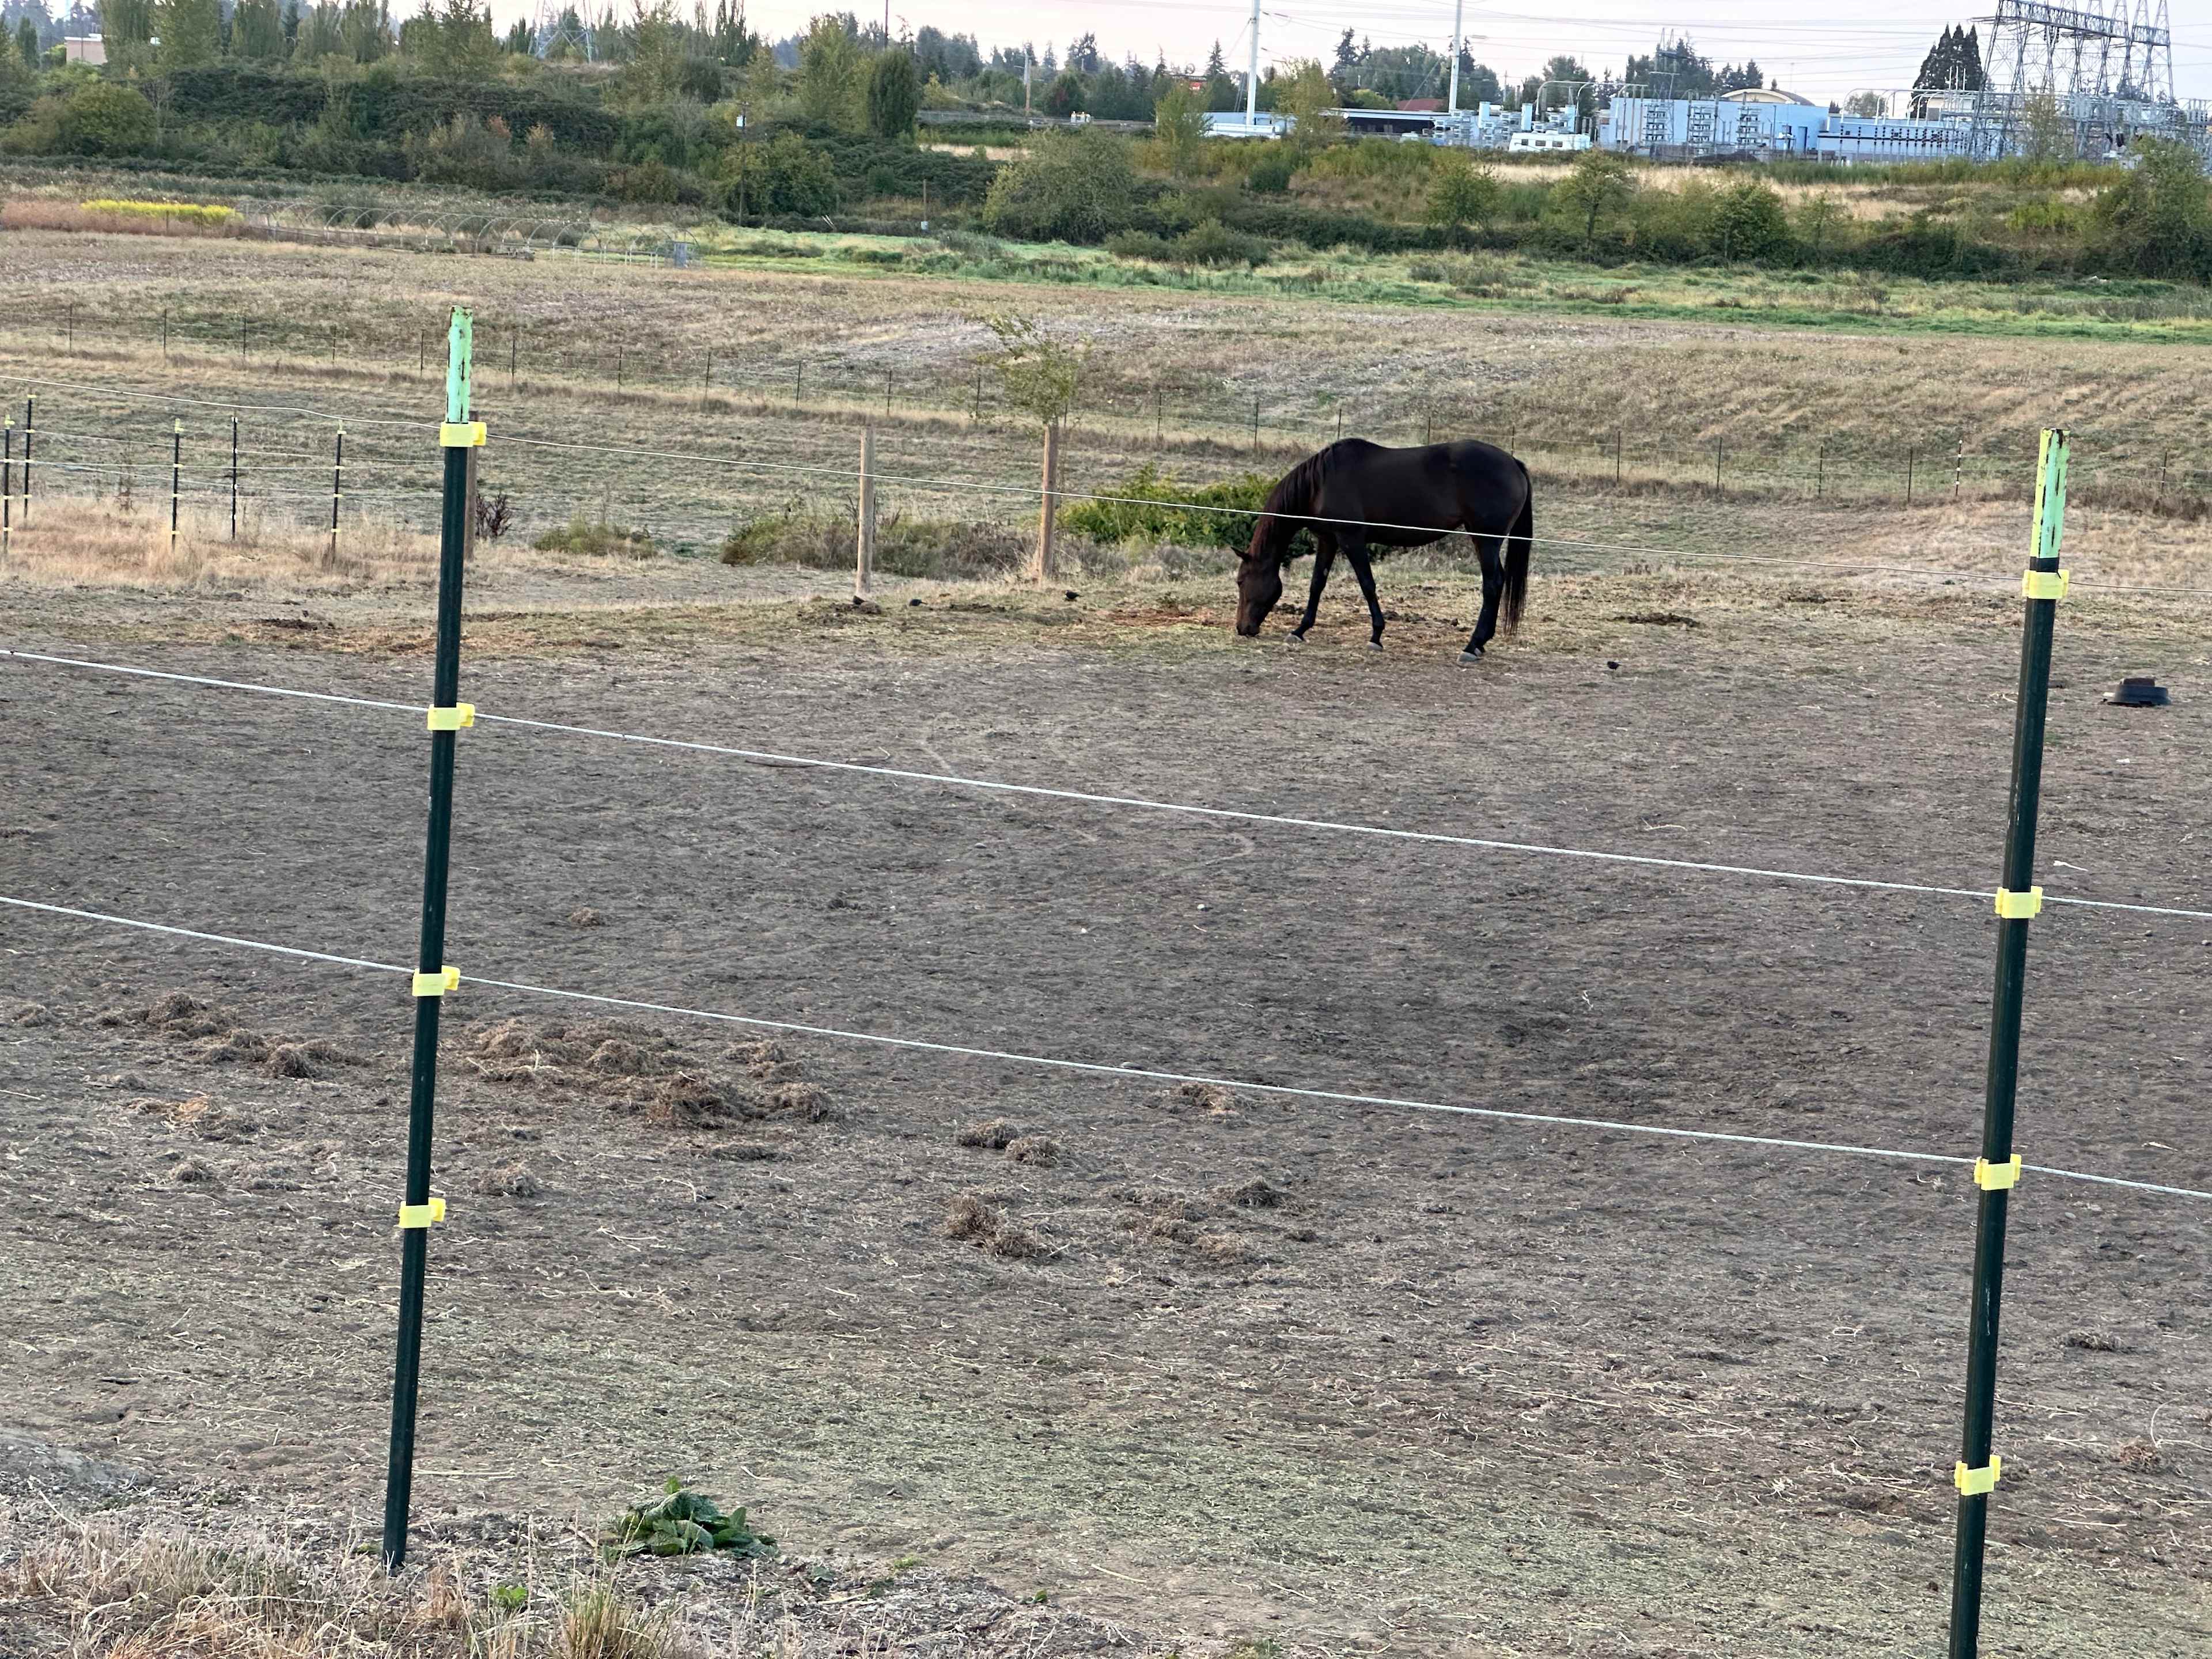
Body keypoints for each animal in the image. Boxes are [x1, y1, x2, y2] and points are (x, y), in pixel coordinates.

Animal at [1232, 438, 1532, 662]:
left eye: (1241, 581)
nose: (1242, 629)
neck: (1321, 483)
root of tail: (1514, 464)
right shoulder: (1328, 540)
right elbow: (1317, 584)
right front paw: (1300, 630)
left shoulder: (1351, 539)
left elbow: (1367, 584)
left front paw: (1376, 636)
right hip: (1484, 540)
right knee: (1498, 582)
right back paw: (1481, 643)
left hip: (1486, 540)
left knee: (1492, 584)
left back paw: (1471, 646)